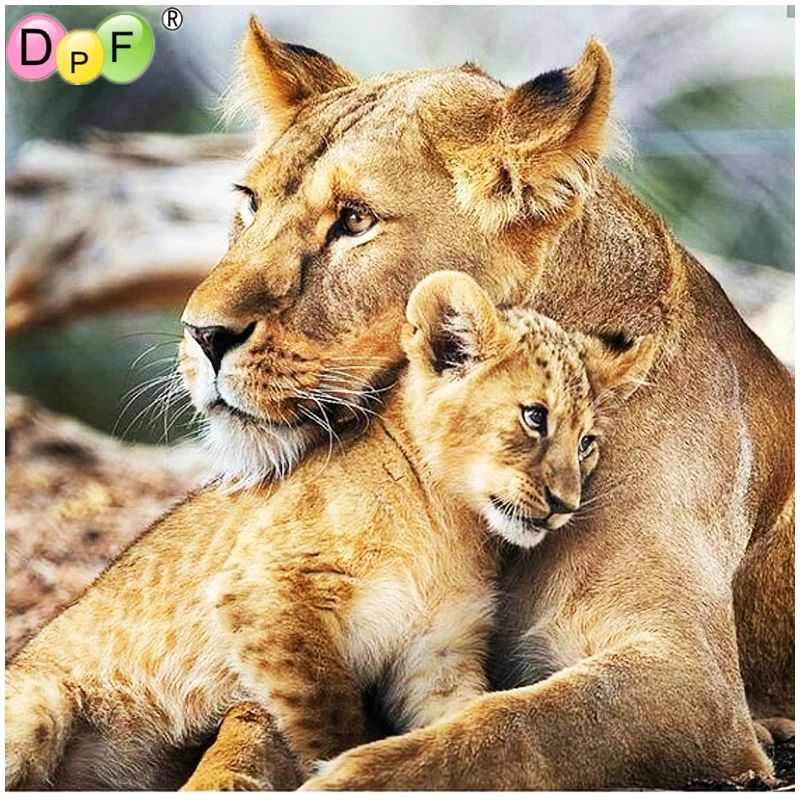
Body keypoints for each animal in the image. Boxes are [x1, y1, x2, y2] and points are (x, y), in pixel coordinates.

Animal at [8, 17, 794, 790]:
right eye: (250, 202)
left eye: (355, 220)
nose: (201, 334)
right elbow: (258, 718)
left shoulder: (690, 678)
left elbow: (501, 734)